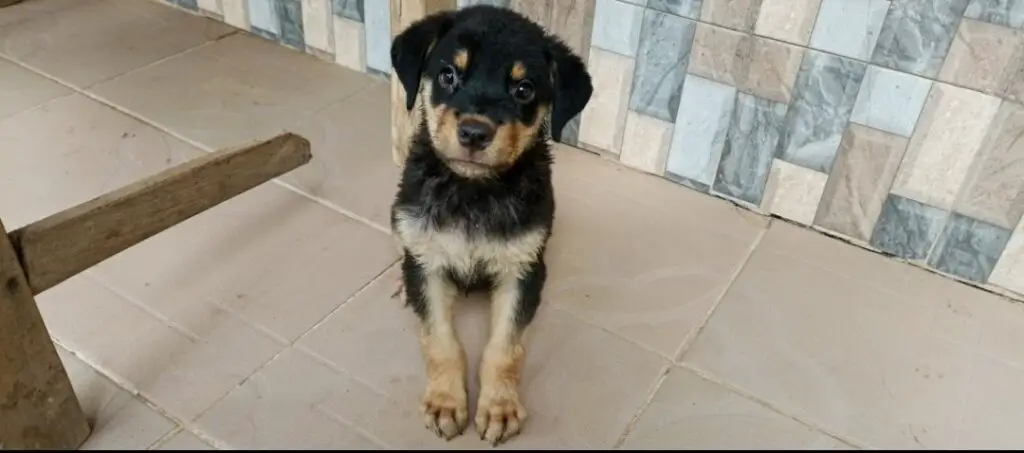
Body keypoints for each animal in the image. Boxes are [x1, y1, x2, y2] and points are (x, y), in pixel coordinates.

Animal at [387, 4, 598, 446]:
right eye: (448, 74)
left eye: (524, 89)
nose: (474, 133)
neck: (474, 192)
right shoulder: (428, 263)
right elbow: (440, 340)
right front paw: (446, 403)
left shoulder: (522, 269)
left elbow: (504, 348)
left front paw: (499, 408)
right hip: (399, 212)